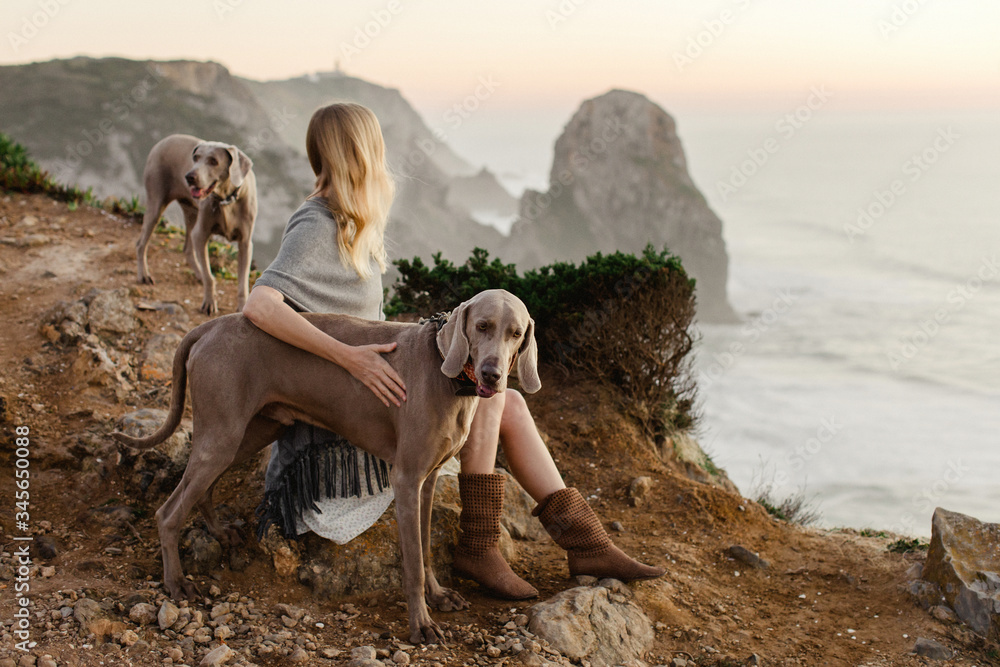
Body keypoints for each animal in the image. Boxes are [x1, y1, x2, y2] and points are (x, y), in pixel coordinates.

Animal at [111, 290, 540, 644]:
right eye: (482, 326)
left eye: (516, 333)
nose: (491, 374)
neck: (445, 371)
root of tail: (210, 325)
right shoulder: (405, 480)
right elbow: (413, 564)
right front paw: (421, 625)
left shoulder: (428, 480)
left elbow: (426, 550)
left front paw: (439, 596)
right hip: (223, 432)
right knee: (168, 512)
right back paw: (177, 583)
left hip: (247, 431)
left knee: (203, 488)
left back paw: (219, 532)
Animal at [134, 134, 256, 318]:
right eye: (196, 158)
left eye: (213, 161)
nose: (189, 176)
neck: (226, 200)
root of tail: (164, 140)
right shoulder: (201, 234)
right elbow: (210, 277)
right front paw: (210, 302)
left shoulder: (245, 243)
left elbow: (242, 282)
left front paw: (242, 307)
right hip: (156, 202)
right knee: (141, 243)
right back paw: (144, 275)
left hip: (191, 212)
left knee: (187, 249)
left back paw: (197, 273)